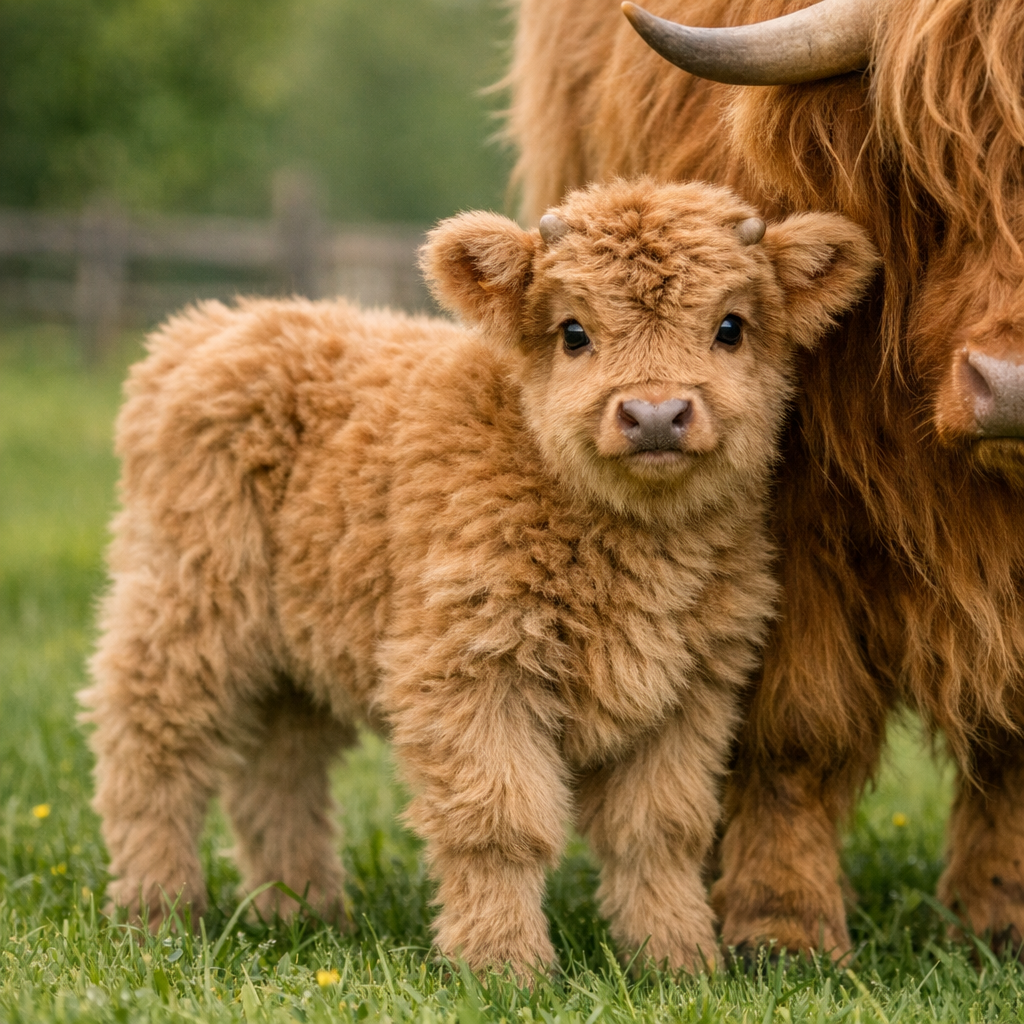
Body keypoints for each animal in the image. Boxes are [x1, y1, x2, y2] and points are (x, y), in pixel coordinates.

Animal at [80, 179, 877, 977]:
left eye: (731, 327)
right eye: (574, 332)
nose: (655, 413)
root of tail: (225, 322)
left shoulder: (690, 691)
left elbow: (660, 831)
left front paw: (677, 961)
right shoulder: (471, 670)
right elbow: (501, 823)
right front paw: (502, 967)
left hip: (296, 648)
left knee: (278, 772)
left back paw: (302, 912)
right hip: (189, 601)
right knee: (150, 743)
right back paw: (158, 910)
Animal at [506, 0, 1024, 958]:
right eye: (934, 163)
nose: (1009, 385)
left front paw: (1001, 912)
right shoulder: (785, 508)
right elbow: (797, 722)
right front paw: (782, 924)